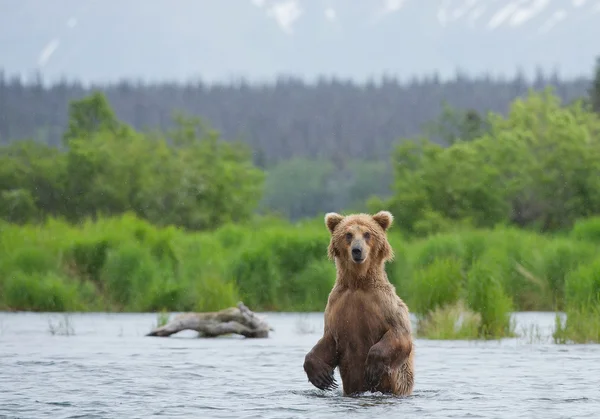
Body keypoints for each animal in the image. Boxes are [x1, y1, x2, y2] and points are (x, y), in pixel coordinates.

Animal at [302, 212, 414, 398]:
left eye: (367, 234)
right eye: (348, 234)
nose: (357, 250)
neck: (358, 283)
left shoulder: (385, 305)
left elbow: (400, 335)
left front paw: (372, 368)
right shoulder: (337, 306)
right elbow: (328, 341)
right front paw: (323, 378)